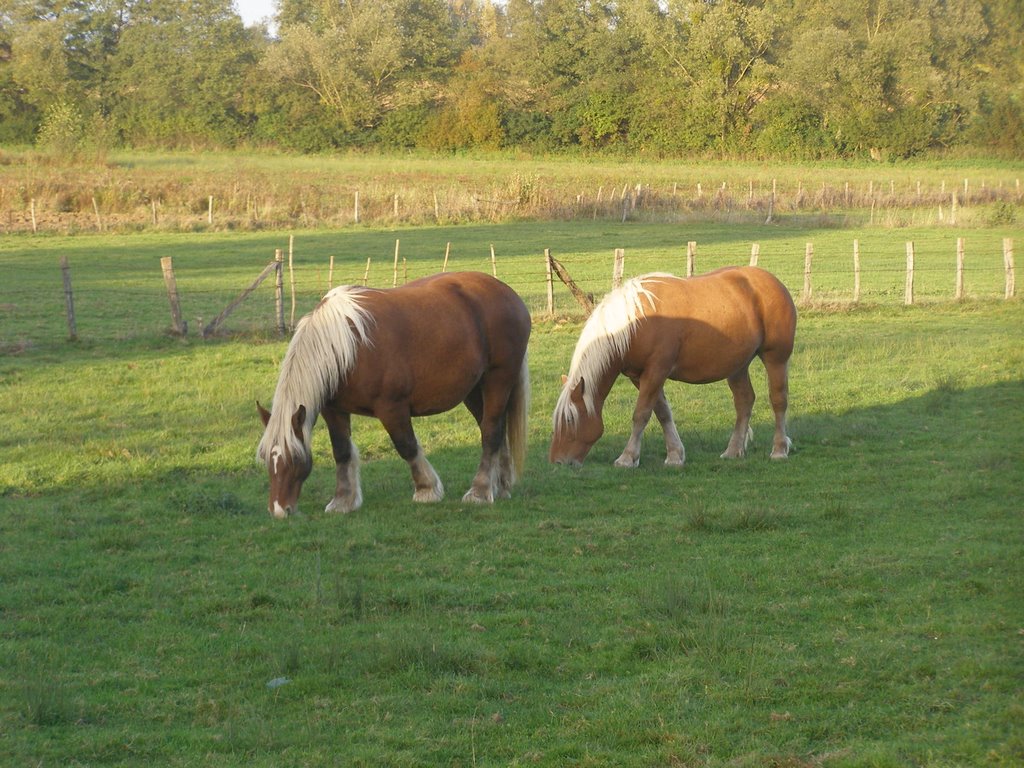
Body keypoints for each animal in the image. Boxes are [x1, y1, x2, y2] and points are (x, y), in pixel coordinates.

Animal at [256, 270, 532, 518]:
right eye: (267, 459)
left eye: (294, 459)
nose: (279, 510)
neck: (346, 344)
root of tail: (508, 293)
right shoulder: (334, 410)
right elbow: (342, 451)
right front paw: (343, 500)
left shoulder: (391, 408)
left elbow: (406, 446)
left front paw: (427, 489)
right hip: (474, 389)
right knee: (495, 429)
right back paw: (501, 485)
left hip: (499, 379)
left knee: (491, 431)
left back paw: (480, 491)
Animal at [552, 264, 798, 468]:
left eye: (570, 419)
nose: (558, 461)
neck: (635, 322)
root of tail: (773, 282)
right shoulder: (640, 376)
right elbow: (662, 413)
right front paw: (674, 455)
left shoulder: (656, 371)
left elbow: (641, 414)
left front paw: (627, 457)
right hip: (737, 366)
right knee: (744, 402)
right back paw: (733, 450)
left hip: (776, 359)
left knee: (778, 400)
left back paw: (779, 450)